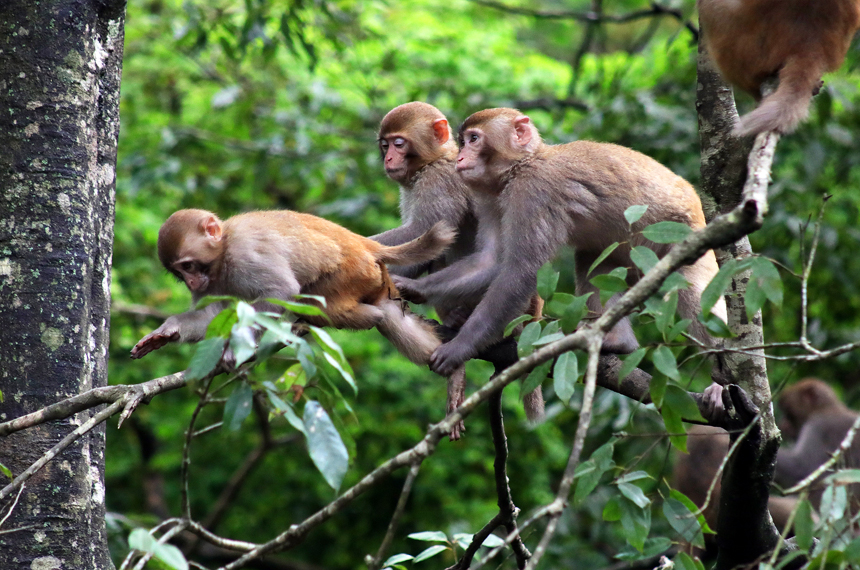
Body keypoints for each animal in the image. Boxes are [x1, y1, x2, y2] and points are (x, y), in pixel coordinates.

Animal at [133, 209, 470, 440]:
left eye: (189, 265)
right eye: (180, 273)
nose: (191, 281)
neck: (223, 251)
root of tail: (363, 244)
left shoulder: (246, 254)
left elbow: (281, 290)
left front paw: (233, 350)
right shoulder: (211, 283)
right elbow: (209, 316)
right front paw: (165, 333)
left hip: (351, 272)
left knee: (327, 302)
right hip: (375, 279)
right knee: (388, 312)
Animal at [374, 102, 548, 422]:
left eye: (399, 143)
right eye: (385, 145)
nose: (389, 158)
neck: (434, 161)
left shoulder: (439, 183)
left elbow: (424, 231)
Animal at [424, 108, 724, 380]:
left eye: (474, 139)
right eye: (463, 141)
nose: (460, 157)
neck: (522, 166)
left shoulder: (533, 192)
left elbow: (520, 272)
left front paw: (458, 348)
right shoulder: (490, 196)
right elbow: (491, 261)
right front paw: (416, 288)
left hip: (682, 232)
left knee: (692, 289)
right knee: (594, 262)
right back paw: (617, 340)